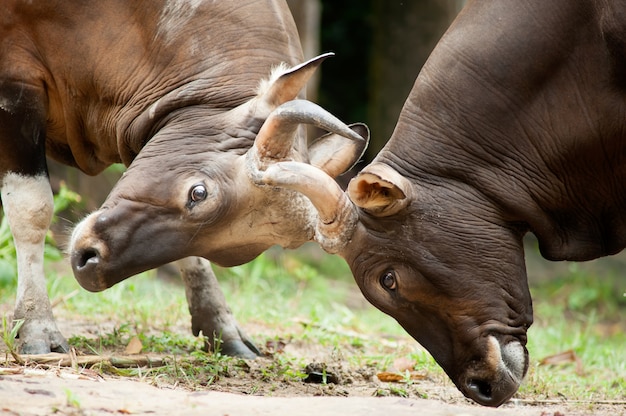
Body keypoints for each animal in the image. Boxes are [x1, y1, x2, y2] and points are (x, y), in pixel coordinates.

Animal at [0, 0, 364, 358]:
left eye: (228, 254)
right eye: (198, 192)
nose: (90, 264)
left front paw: (220, 326)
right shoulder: (15, 83)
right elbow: (32, 210)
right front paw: (36, 325)